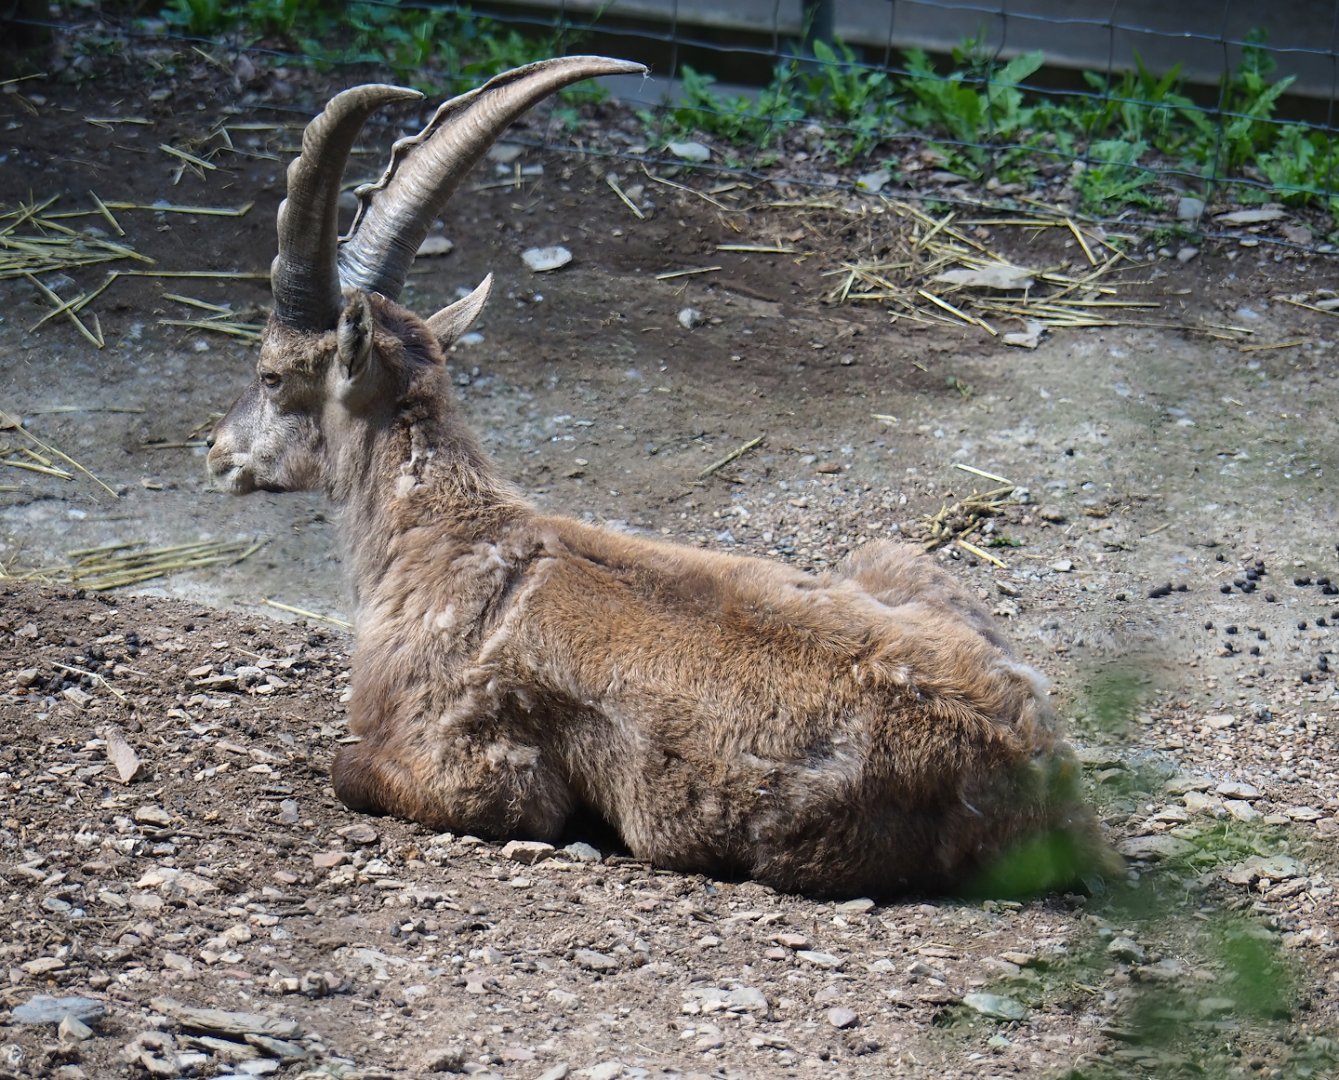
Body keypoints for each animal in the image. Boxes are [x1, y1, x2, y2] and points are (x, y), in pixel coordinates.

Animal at [208, 58, 1116, 898]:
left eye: (269, 374)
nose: (216, 451)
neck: (440, 536)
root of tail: (1046, 779)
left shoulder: (474, 771)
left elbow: (353, 769)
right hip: (887, 557)